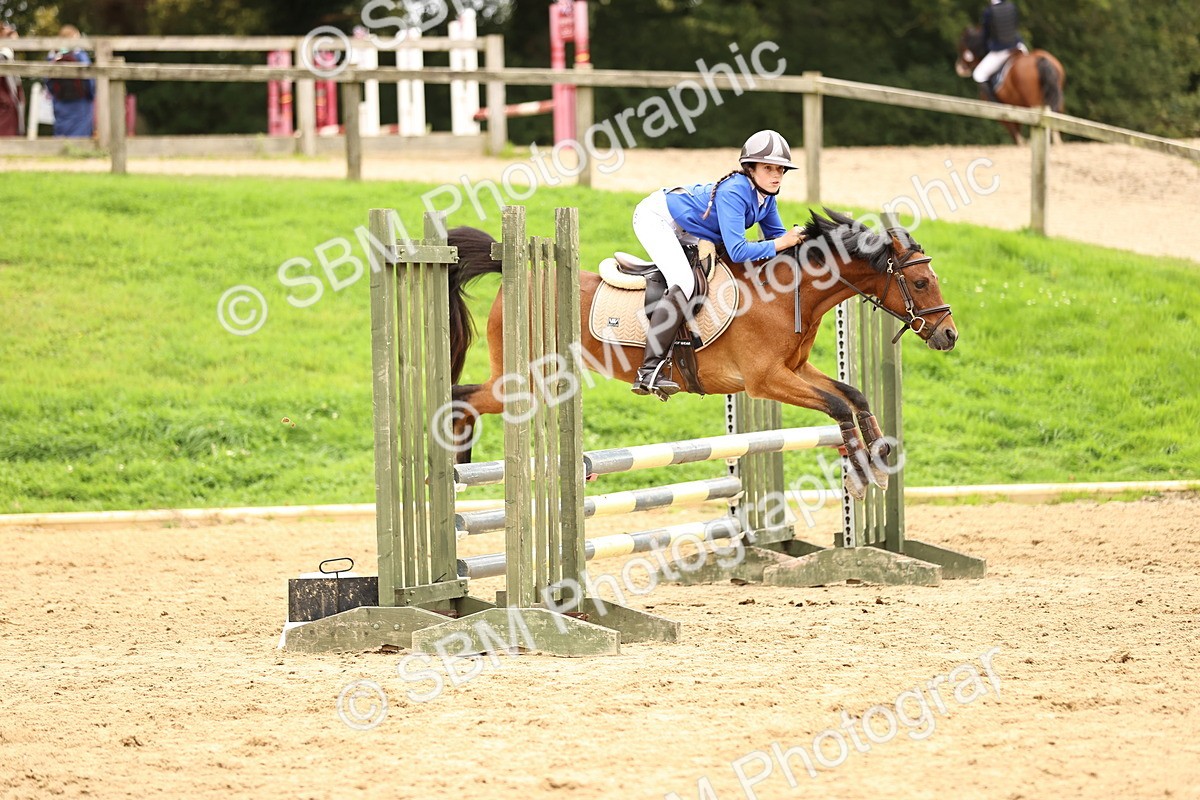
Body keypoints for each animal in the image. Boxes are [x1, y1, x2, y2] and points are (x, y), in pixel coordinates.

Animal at [445, 209, 958, 499]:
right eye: (919, 282)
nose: (949, 335)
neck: (786, 294)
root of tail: (515, 271)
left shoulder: (794, 369)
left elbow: (854, 396)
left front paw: (879, 458)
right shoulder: (766, 381)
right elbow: (837, 405)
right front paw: (860, 471)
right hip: (523, 382)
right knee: (464, 396)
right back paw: (456, 461)